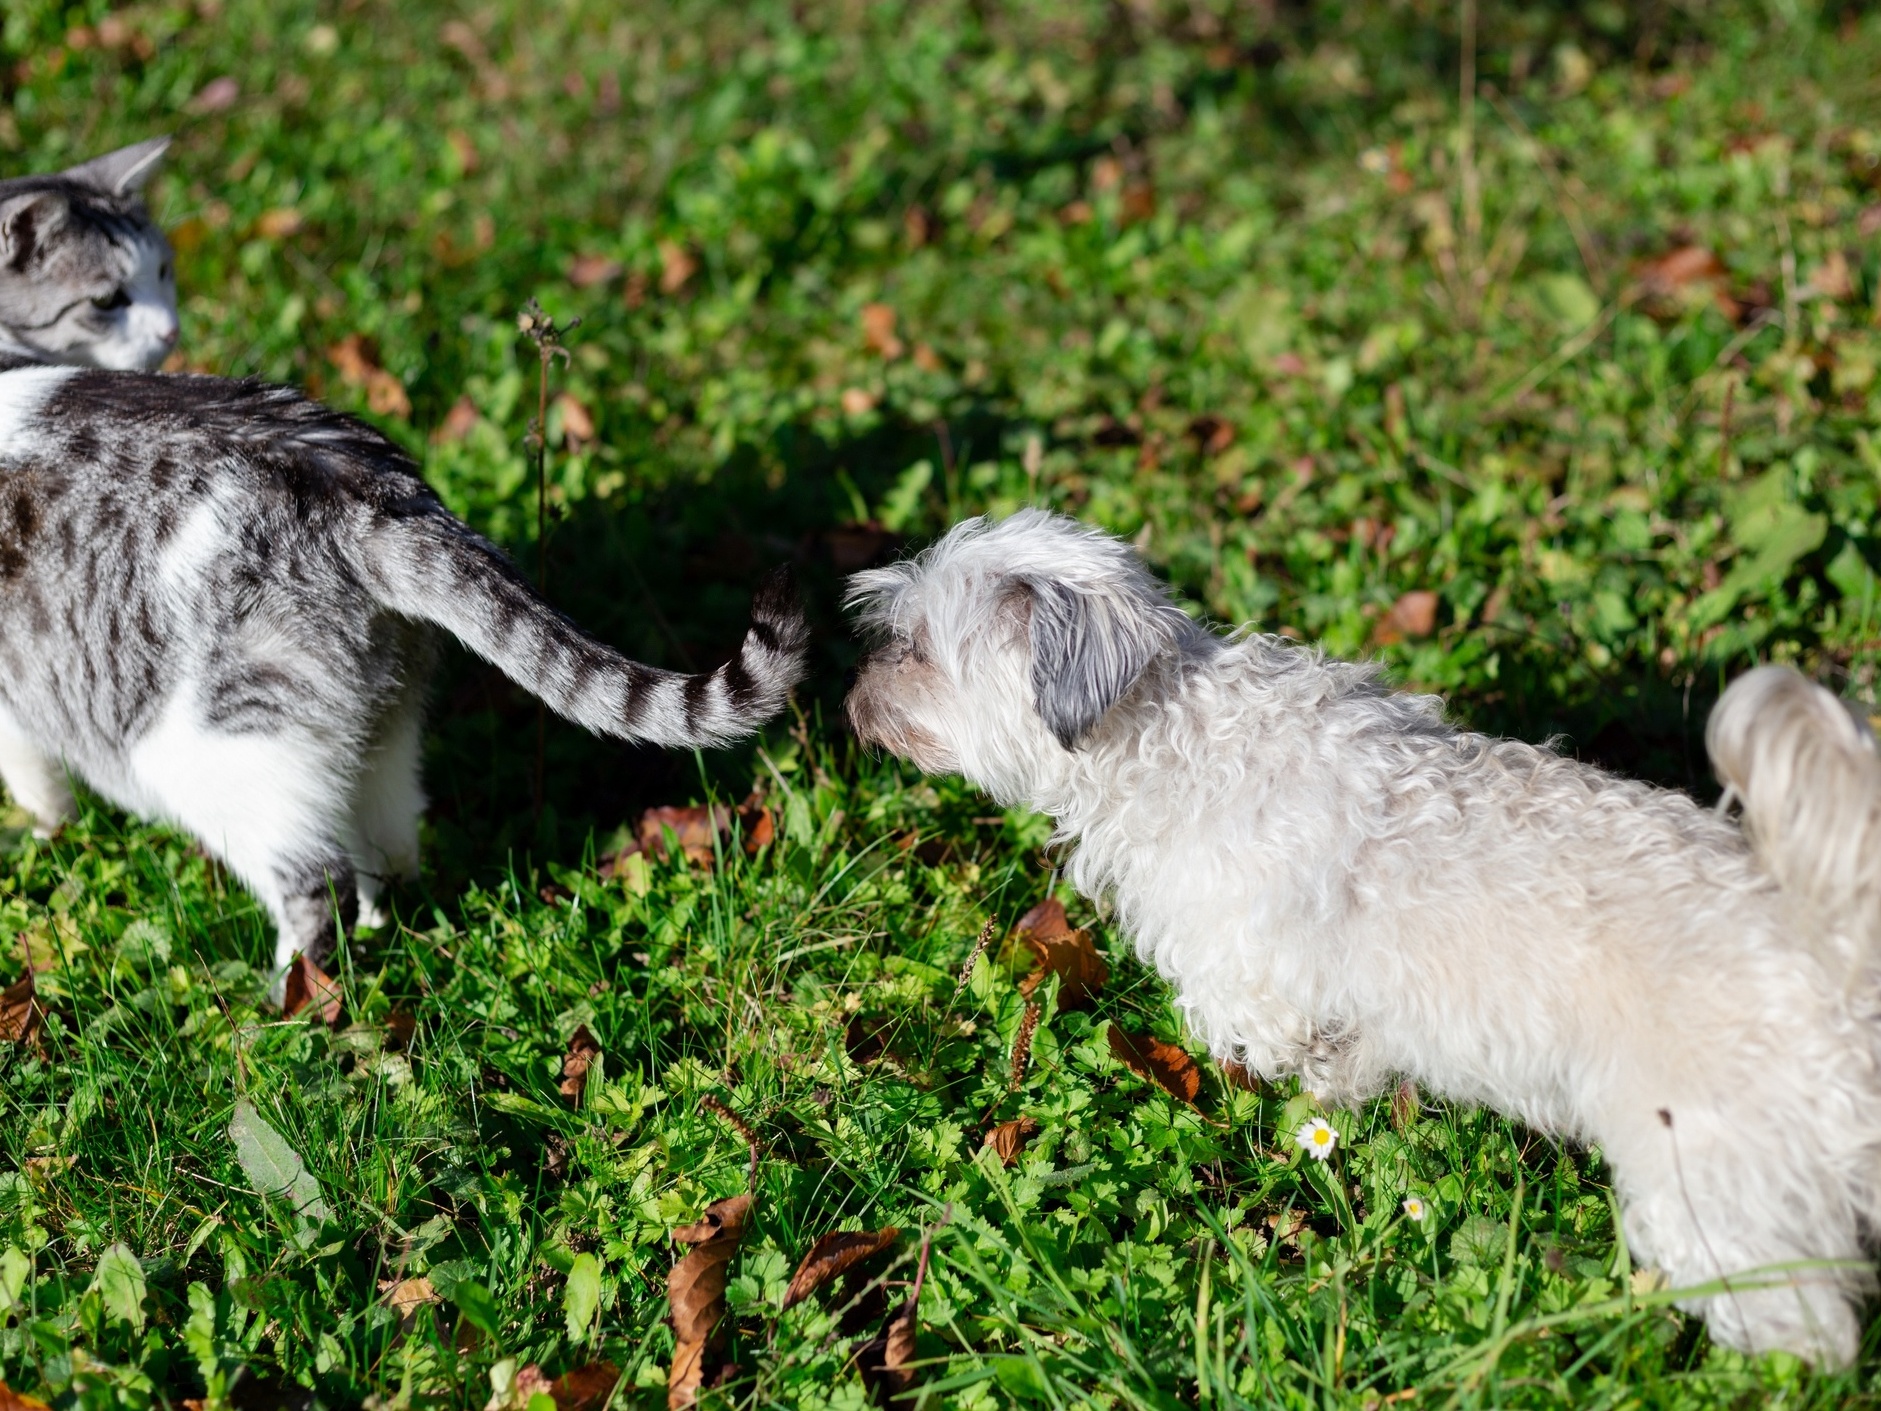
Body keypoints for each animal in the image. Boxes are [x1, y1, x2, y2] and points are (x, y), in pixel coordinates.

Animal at [0, 364, 805, 970]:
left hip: (205, 747)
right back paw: (386, 930)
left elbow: (35, 784)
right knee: (390, 842)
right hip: (373, 721)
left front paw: (43, 835)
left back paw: (291, 1004)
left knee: (312, 879)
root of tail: (356, 488)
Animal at [850, 511, 1881, 1369]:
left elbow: (1288, 1080)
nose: (852, 697)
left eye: (915, 651)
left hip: (1713, 1179)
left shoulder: (1258, 996)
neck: (1159, 733)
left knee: (1803, 1328)